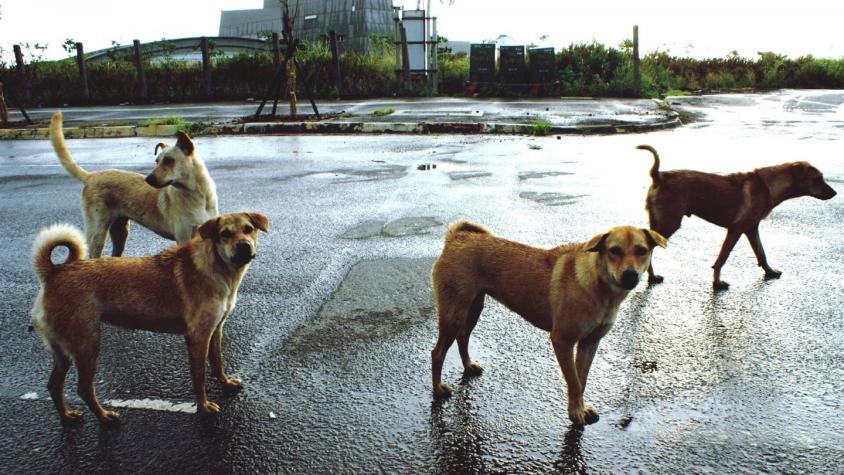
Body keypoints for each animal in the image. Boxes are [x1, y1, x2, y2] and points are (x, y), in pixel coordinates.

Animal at [30, 214, 268, 426]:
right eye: (225, 234)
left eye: (248, 229)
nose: (244, 246)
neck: (216, 266)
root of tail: (54, 272)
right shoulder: (198, 337)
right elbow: (199, 377)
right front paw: (203, 406)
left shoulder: (215, 330)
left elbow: (218, 362)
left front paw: (225, 383)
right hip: (87, 346)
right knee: (84, 388)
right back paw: (104, 417)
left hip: (63, 351)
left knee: (54, 385)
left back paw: (66, 417)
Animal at [49, 111, 219, 258]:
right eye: (157, 161)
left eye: (169, 160)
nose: (148, 179)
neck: (197, 195)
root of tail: (90, 176)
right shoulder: (183, 238)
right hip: (97, 234)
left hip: (120, 233)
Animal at [432, 221, 664, 426]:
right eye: (614, 250)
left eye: (642, 251)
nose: (630, 275)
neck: (599, 285)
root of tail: (456, 238)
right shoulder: (562, 341)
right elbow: (574, 382)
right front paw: (575, 413)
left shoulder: (590, 343)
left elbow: (582, 380)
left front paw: (580, 408)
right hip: (454, 314)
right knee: (437, 353)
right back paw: (438, 389)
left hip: (473, 309)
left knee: (462, 337)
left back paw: (468, 366)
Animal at [640, 144, 836, 290]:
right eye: (819, 178)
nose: (834, 193)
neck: (767, 185)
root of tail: (658, 175)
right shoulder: (736, 229)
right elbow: (722, 258)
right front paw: (717, 283)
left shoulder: (751, 229)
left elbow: (761, 253)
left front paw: (769, 272)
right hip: (669, 223)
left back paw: (650, 276)